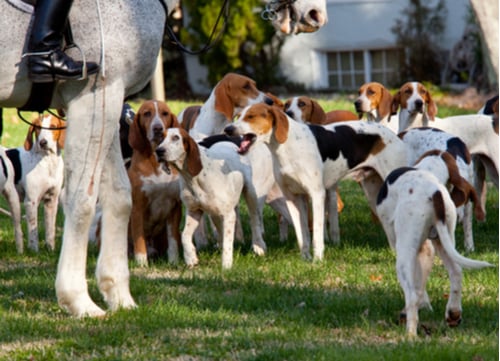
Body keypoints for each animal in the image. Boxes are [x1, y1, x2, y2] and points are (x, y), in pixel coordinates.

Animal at [0, 0, 328, 316]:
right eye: (246, 86)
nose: (316, 13)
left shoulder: (109, 102)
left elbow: (119, 198)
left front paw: (118, 295)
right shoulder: (94, 95)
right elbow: (82, 199)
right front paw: (79, 300)